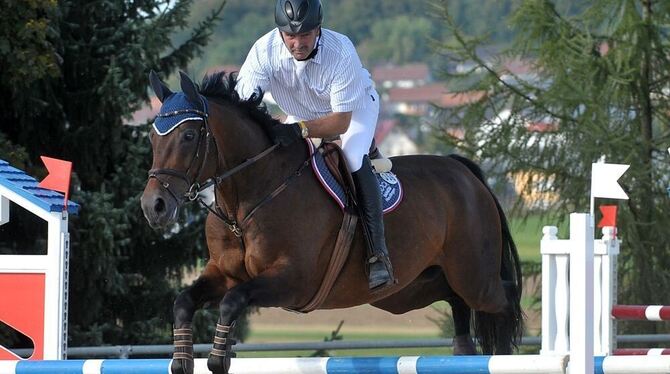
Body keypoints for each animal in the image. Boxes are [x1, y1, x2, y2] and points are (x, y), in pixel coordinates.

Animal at [140, 71, 524, 374]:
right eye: (153, 137)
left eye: (189, 136)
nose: (153, 206)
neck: (246, 202)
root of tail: (464, 171)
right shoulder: (223, 273)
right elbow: (184, 301)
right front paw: (182, 360)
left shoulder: (292, 280)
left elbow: (233, 301)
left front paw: (219, 357)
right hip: (415, 288)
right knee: (457, 303)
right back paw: (462, 352)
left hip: (474, 277)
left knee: (503, 302)